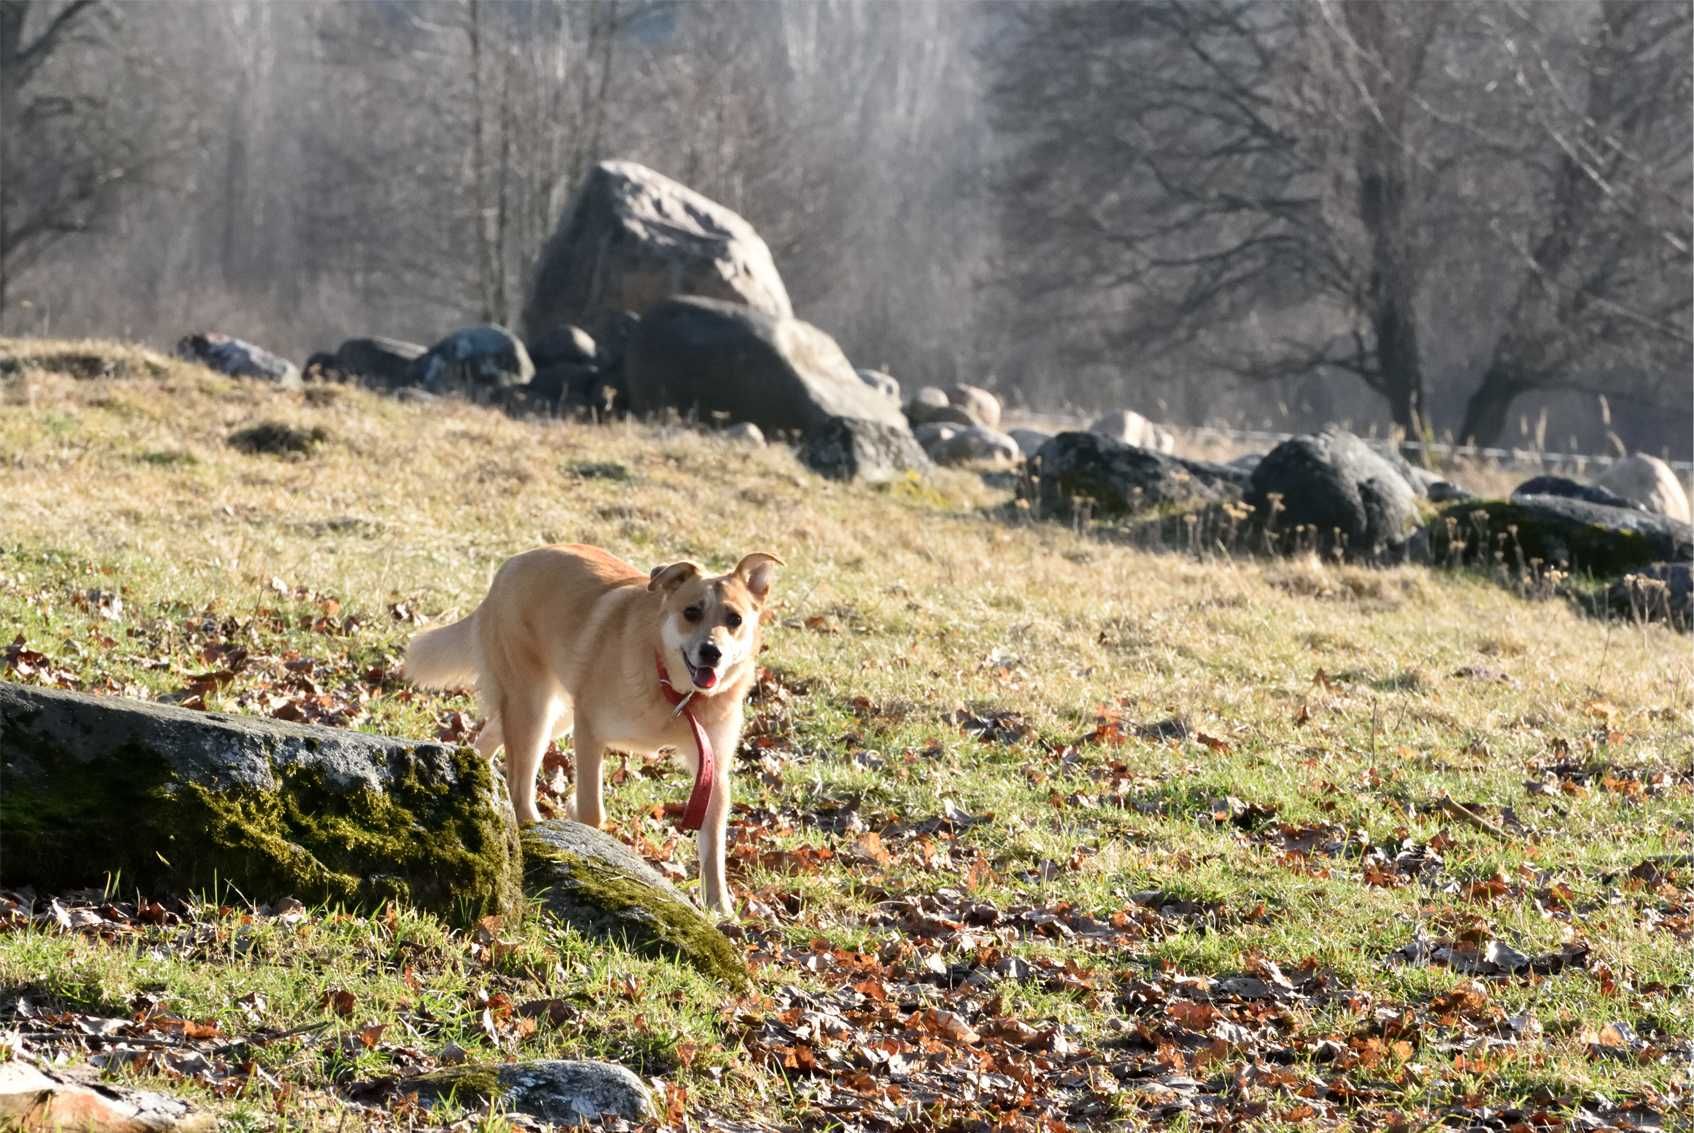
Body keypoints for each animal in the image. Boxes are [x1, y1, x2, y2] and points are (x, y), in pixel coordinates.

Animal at [406, 541, 782, 921]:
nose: (711, 652)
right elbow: (591, 809)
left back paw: (470, 770)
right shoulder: (589, 729)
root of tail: (512, 563)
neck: (674, 693)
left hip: (552, 713)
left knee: (490, 737)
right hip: (535, 707)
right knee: (519, 787)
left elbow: (714, 844)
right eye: (691, 612)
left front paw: (721, 910)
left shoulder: (712, 767)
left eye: (734, 619)